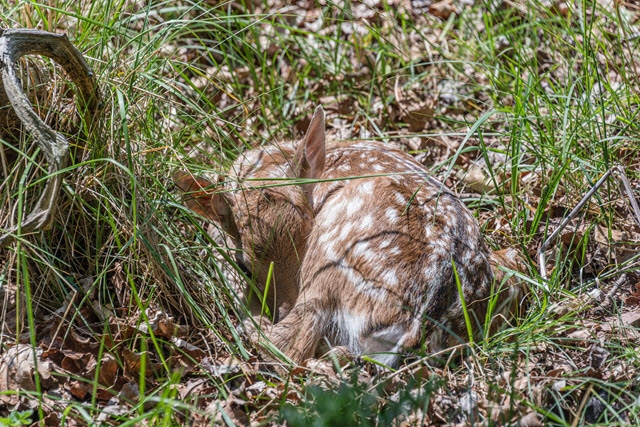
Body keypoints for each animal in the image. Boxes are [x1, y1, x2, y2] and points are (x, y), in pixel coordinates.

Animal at [172, 107, 524, 368]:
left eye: (305, 236)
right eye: (246, 265)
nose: (281, 307)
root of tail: (418, 326)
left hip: (332, 254)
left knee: (291, 347)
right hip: (510, 269)